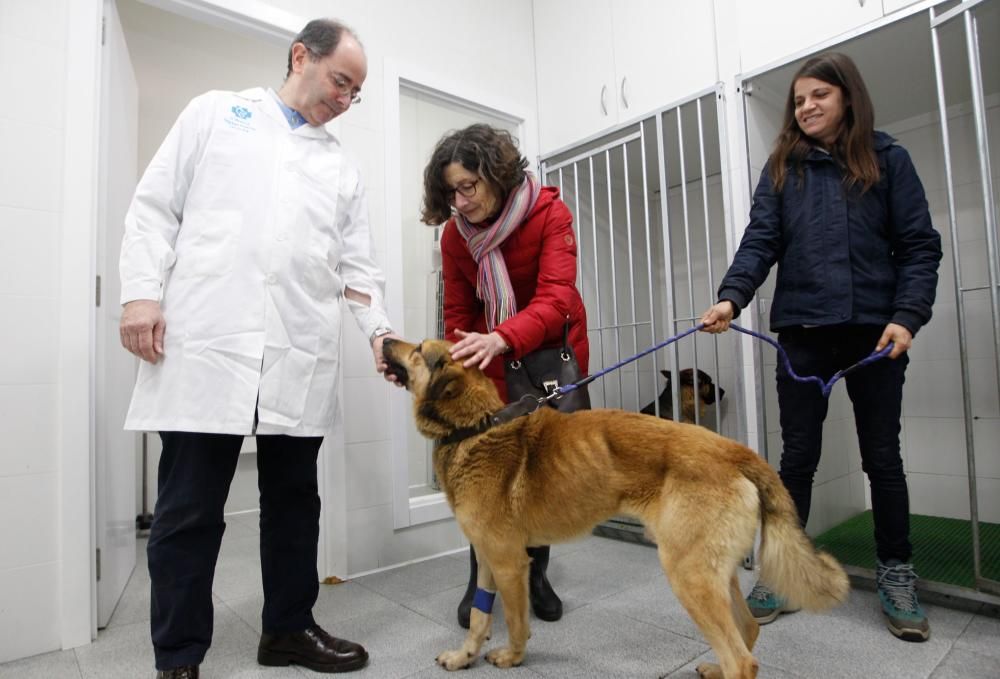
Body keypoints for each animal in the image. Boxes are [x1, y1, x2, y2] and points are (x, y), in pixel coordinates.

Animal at [380, 340, 844, 679]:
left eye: (418, 348)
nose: (384, 340)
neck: (476, 428)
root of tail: (735, 451)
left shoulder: (509, 563)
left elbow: (514, 621)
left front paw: (512, 658)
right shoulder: (490, 560)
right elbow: (479, 617)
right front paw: (464, 657)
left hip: (689, 575)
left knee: (741, 661)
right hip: (713, 571)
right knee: (746, 631)